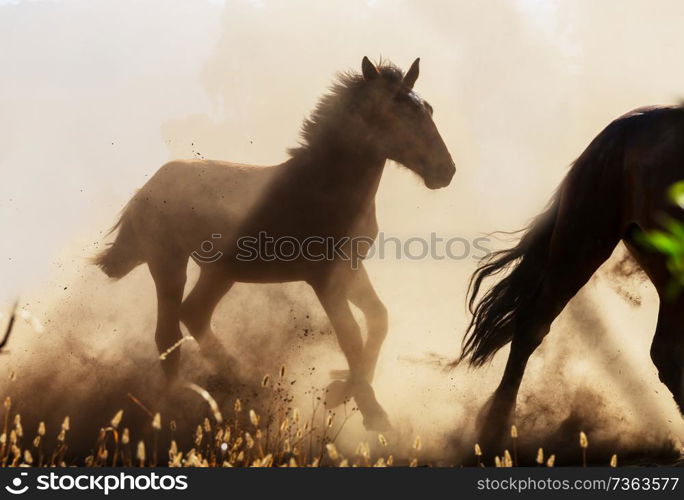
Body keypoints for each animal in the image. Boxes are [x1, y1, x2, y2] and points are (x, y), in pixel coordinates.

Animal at [93, 56, 452, 428]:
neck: (323, 188)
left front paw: (341, 393)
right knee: (169, 335)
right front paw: (373, 412)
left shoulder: (351, 269)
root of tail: (147, 189)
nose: (445, 171)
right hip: (169, 264)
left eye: (428, 109)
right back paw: (184, 403)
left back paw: (242, 381)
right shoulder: (324, 279)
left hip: (219, 272)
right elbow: (350, 336)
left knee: (194, 314)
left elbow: (378, 319)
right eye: (394, 113)